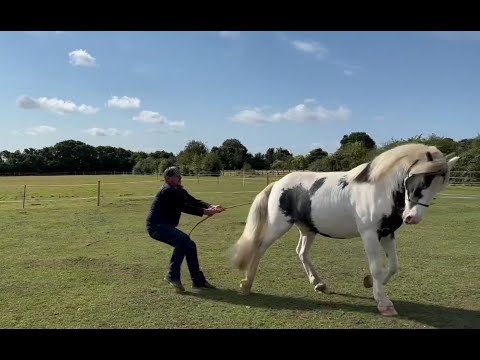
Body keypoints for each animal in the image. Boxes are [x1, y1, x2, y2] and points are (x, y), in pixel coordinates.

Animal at [232, 142, 462, 316]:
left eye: (439, 188)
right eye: (421, 181)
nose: (412, 217)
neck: (378, 189)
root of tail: (279, 183)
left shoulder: (387, 233)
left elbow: (393, 266)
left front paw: (370, 284)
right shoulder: (369, 234)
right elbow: (377, 268)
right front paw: (384, 303)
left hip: (308, 229)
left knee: (302, 252)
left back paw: (319, 284)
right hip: (278, 226)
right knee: (259, 248)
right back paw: (246, 285)